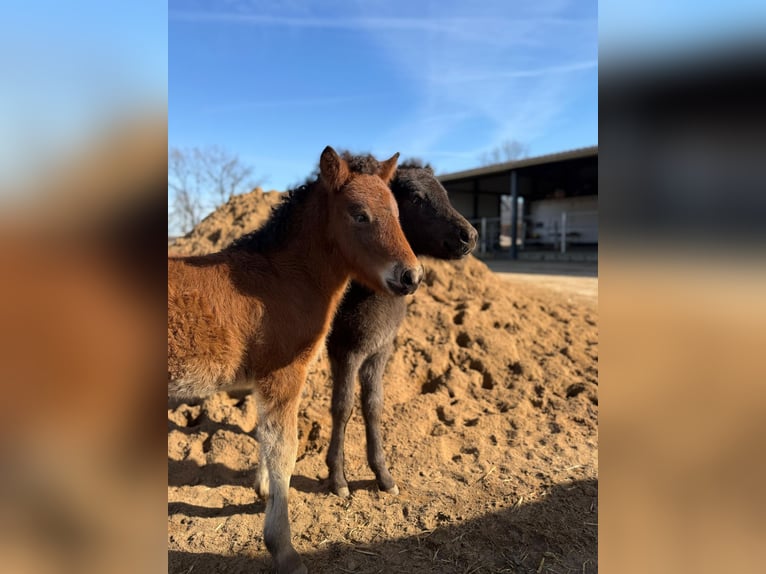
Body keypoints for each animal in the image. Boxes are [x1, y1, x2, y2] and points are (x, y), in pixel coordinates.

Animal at [168, 147, 423, 574]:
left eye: (398, 214)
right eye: (359, 215)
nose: (411, 276)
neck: (279, 280)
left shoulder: (265, 381)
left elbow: (266, 440)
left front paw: (262, 490)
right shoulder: (283, 375)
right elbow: (284, 451)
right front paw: (283, 549)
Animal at [325, 157, 478, 498]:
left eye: (445, 194)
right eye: (417, 198)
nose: (470, 236)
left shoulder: (379, 351)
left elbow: (373, 406)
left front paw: (383, 475)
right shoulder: (346, 352)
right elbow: (342, 407)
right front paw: (338, 479)